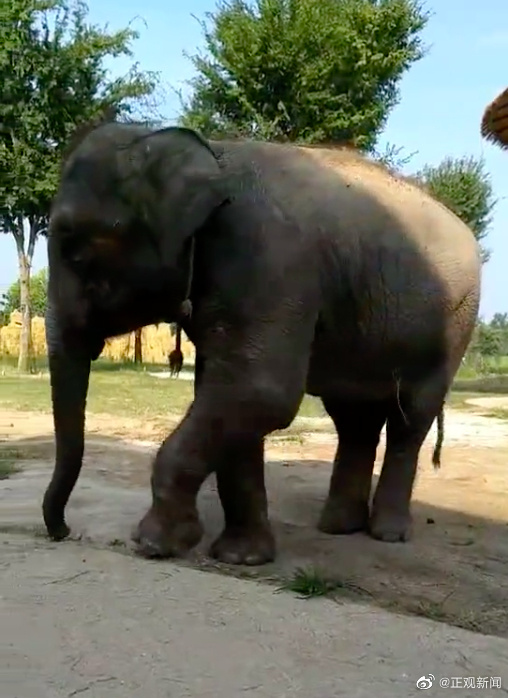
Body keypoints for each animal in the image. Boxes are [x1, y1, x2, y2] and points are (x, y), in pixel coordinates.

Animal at [43, 120, 481, 565]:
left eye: (74, 249)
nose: (62, 532)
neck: (206, 152)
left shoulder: (268, 258)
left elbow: (260, 392)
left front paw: (154, 543)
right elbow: (232, 395)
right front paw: (241, 557)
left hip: (455, 324)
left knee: (411, 417)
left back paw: (387, 535)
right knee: (354, 419)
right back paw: (338, 527)